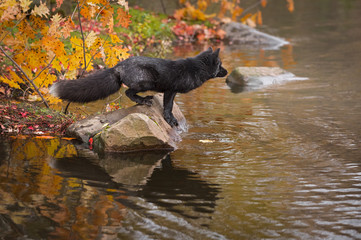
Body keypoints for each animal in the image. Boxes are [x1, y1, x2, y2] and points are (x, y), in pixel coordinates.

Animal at [49, 45, 226, 126]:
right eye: (220, 65)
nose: (227, 72)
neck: (194, 68)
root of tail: (118, 66)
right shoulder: (170, 90)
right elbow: (168, 107)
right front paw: (170, 120)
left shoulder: (172, 91)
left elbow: (168, 105)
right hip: (146, 82)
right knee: (129, 93)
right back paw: (143, 100)